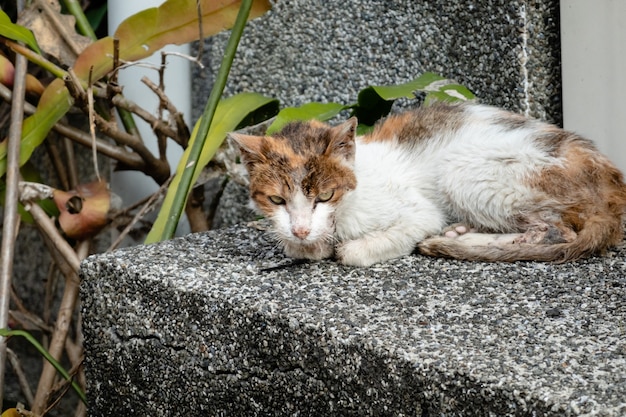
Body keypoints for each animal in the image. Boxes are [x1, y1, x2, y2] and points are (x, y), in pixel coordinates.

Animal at [228, 103, 624, 268]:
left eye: (325, 195)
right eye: (277, 199)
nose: (300, 228)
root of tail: (612, 186)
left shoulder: (419, 212)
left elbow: (353, 252)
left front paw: (344, 248)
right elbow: (297, 246)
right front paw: (305, 244)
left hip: (463, 170)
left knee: (556, 232)